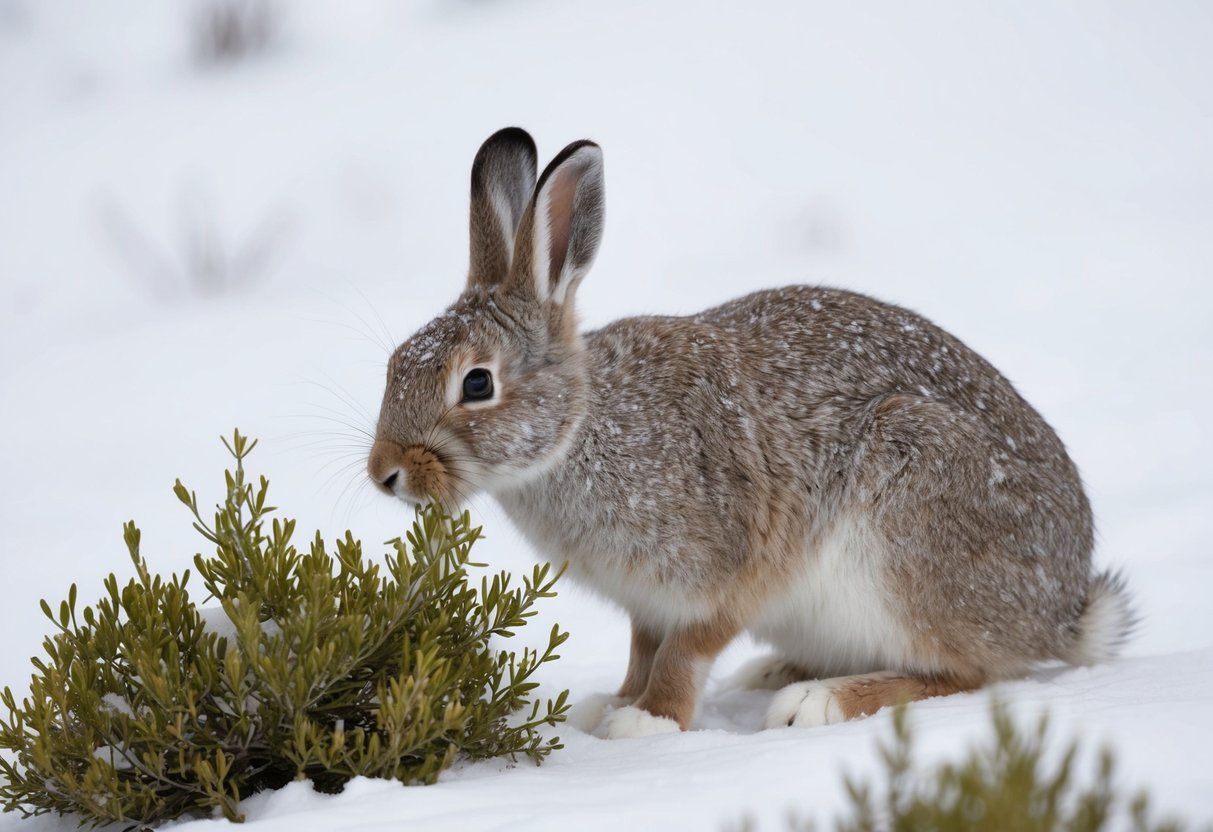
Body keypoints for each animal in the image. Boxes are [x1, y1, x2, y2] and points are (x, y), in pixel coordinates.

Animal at [367, 127, 1134, 739]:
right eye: (396, 361)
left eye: (476, 384)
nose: (385, 474)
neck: (581, 429)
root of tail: (1061, 610)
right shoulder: (647, 604)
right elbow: (642, 651)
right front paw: (609, 704)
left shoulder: (731, 572)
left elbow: (683, 653)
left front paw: (648, 722)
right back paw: (772, 673)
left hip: (912, 521)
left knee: (969, 672)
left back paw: (816, 701)